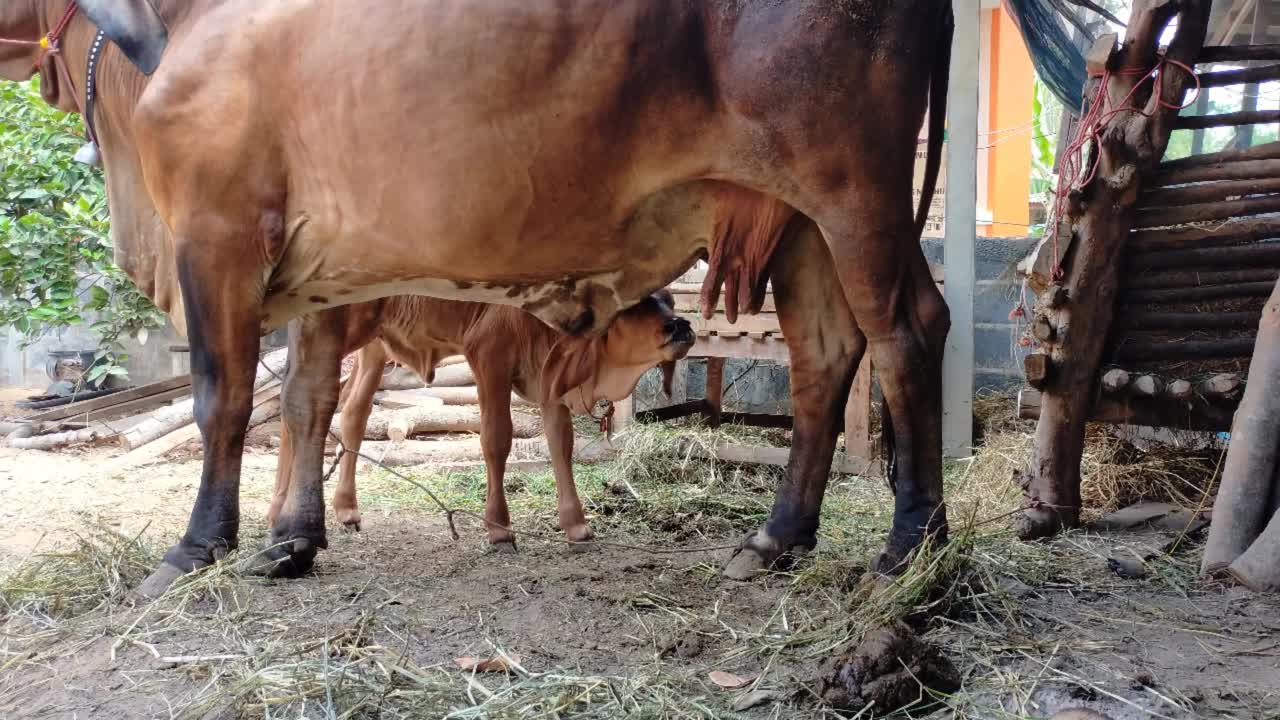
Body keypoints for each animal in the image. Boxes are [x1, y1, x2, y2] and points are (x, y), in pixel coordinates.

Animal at [266, 288, 696, 545]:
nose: (683, 325)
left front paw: (576, 524)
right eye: (636, 304)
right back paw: (279, 509)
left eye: (671, 300)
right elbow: (496, 439)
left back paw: (346, 509)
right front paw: (499, 527)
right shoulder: (489, 355)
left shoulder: (549, 379)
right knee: (297, 401)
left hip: (374, 345)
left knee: (353, 412)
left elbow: (561, 444)